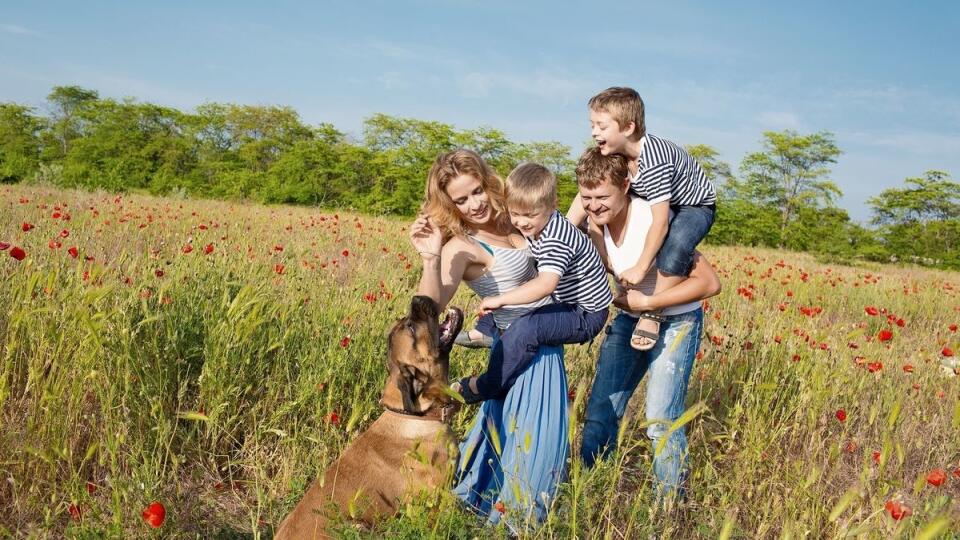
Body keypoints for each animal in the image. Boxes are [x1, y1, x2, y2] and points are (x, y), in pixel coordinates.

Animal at [274, 298, 464, 536]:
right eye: (411, 327)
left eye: (407, 323)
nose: (418, 298)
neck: (419, 416)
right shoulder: (437, 497)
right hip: (357, 526)